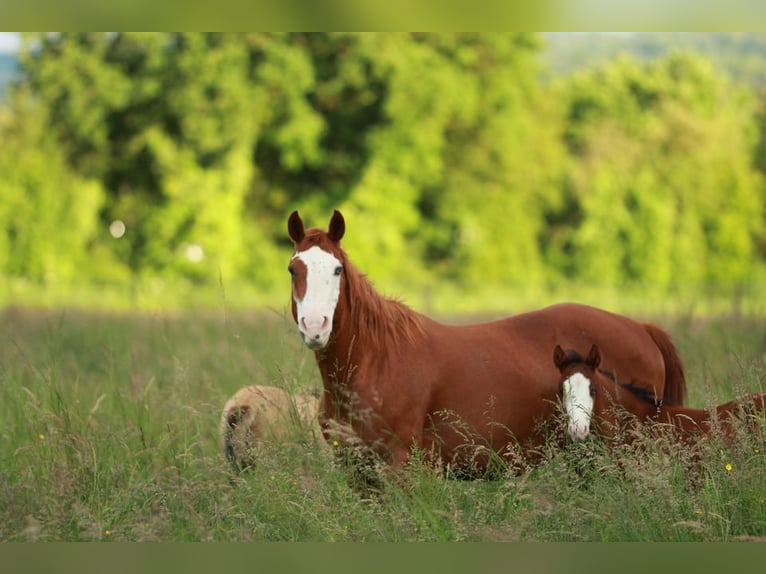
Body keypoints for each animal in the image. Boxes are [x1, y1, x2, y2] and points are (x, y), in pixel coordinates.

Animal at [286, 212, 688, 476]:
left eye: (337, 269)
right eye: (294, 269)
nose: (315, 326)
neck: (377, 361)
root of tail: (642, 328)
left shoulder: (399, 466)